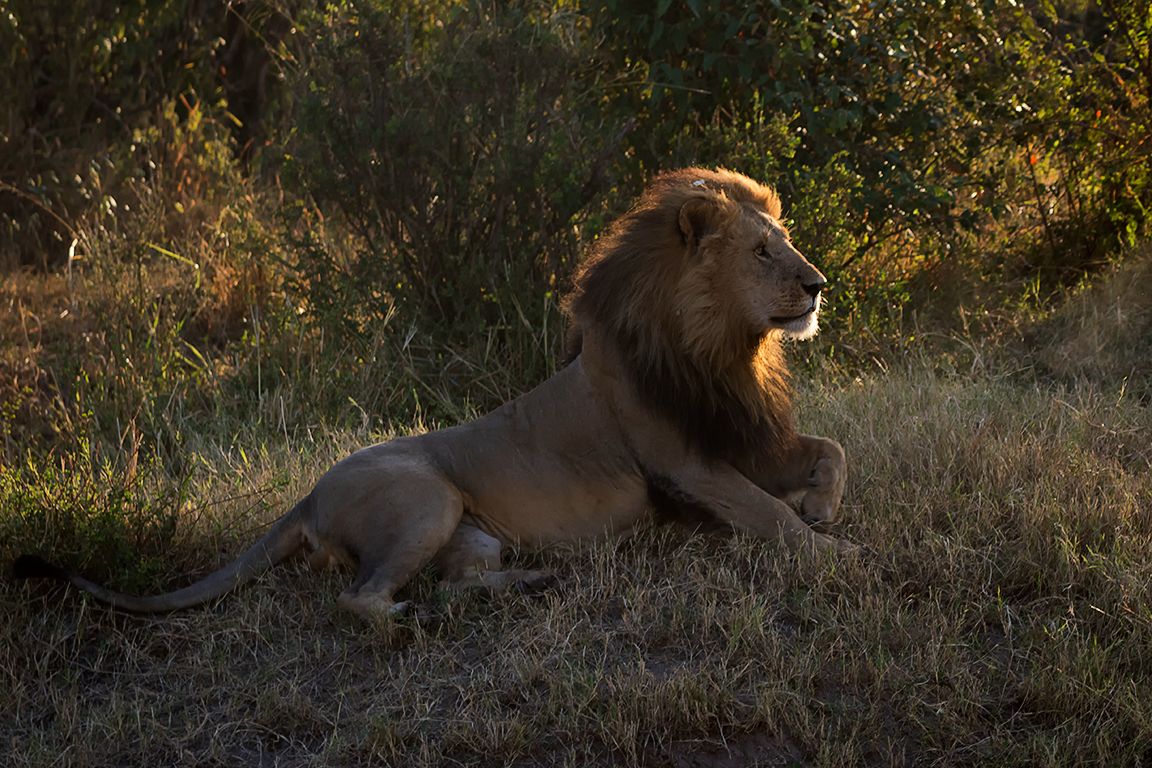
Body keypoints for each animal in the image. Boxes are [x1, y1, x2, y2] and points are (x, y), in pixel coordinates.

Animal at [14, 167, 853, 621]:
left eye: (784, 243)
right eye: (762, 252)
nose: (818, 285)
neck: (724, 351)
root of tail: (307, 495)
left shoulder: (745, 434)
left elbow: (830, 450)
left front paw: (822, 509)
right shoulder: (686, 462)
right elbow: (767, 514)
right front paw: (834, 552)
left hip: (471, 534)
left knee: (457, 584)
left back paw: (534, 579)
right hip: (428, 498)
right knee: (362, 597)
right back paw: (408, 617)